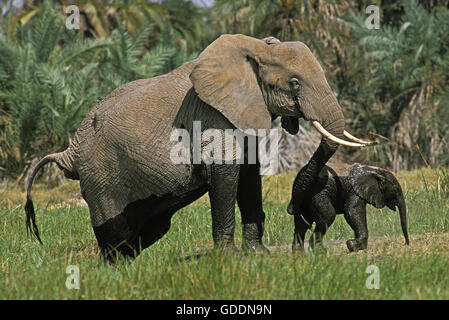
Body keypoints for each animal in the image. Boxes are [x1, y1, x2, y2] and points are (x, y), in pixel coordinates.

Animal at [23, 34, 368, 262]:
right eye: (295, 82)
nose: (295, 211)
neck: (254, 49)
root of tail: (69, 152)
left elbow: (249, 177)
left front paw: (258, 254)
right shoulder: (211, 114)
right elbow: (227, 175)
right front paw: (227, 259)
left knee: (146, 231)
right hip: (100, 175)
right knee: (115, 232)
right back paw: (119, 271)